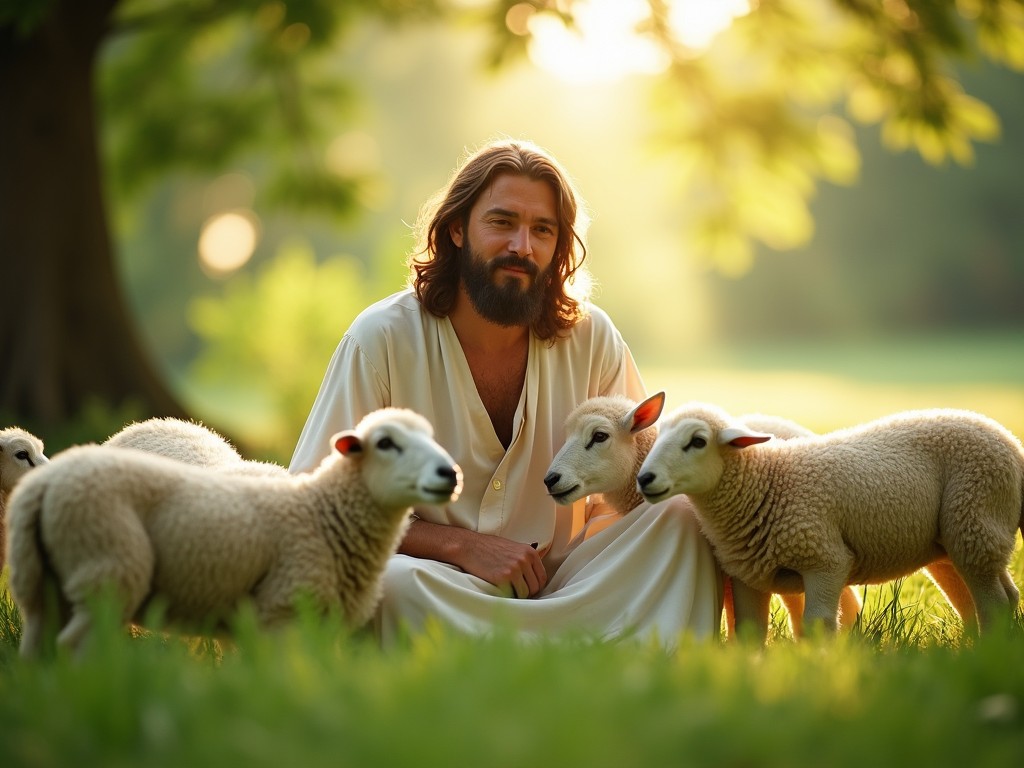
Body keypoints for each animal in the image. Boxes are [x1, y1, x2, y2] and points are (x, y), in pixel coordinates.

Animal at [638, 403, 1024, 638]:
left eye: (697, 441)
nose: (645, 478)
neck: (766, 481)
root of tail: (1012, 443)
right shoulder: (748, 576)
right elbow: (748, 631)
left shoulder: (825, 560)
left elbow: (817, 624)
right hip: (957, 541)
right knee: (993, 596)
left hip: (975, 516)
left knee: (993, 601)